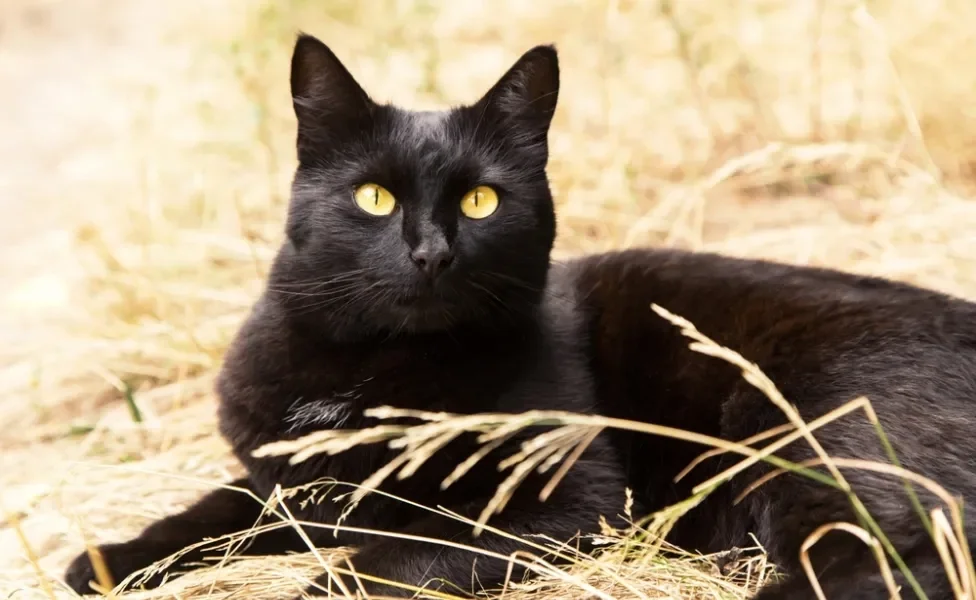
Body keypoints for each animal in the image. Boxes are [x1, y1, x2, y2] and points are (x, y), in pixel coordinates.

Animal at [66, 34, 976, 600]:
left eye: (481, 199)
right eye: (374, 197)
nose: (432, 252)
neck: (374, 368)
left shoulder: (574, 503)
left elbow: (414, 551)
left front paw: (328, 580)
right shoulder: (289, 481)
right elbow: (210, 513)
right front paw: (108, 562)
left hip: (813, 440)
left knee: (905, 562)